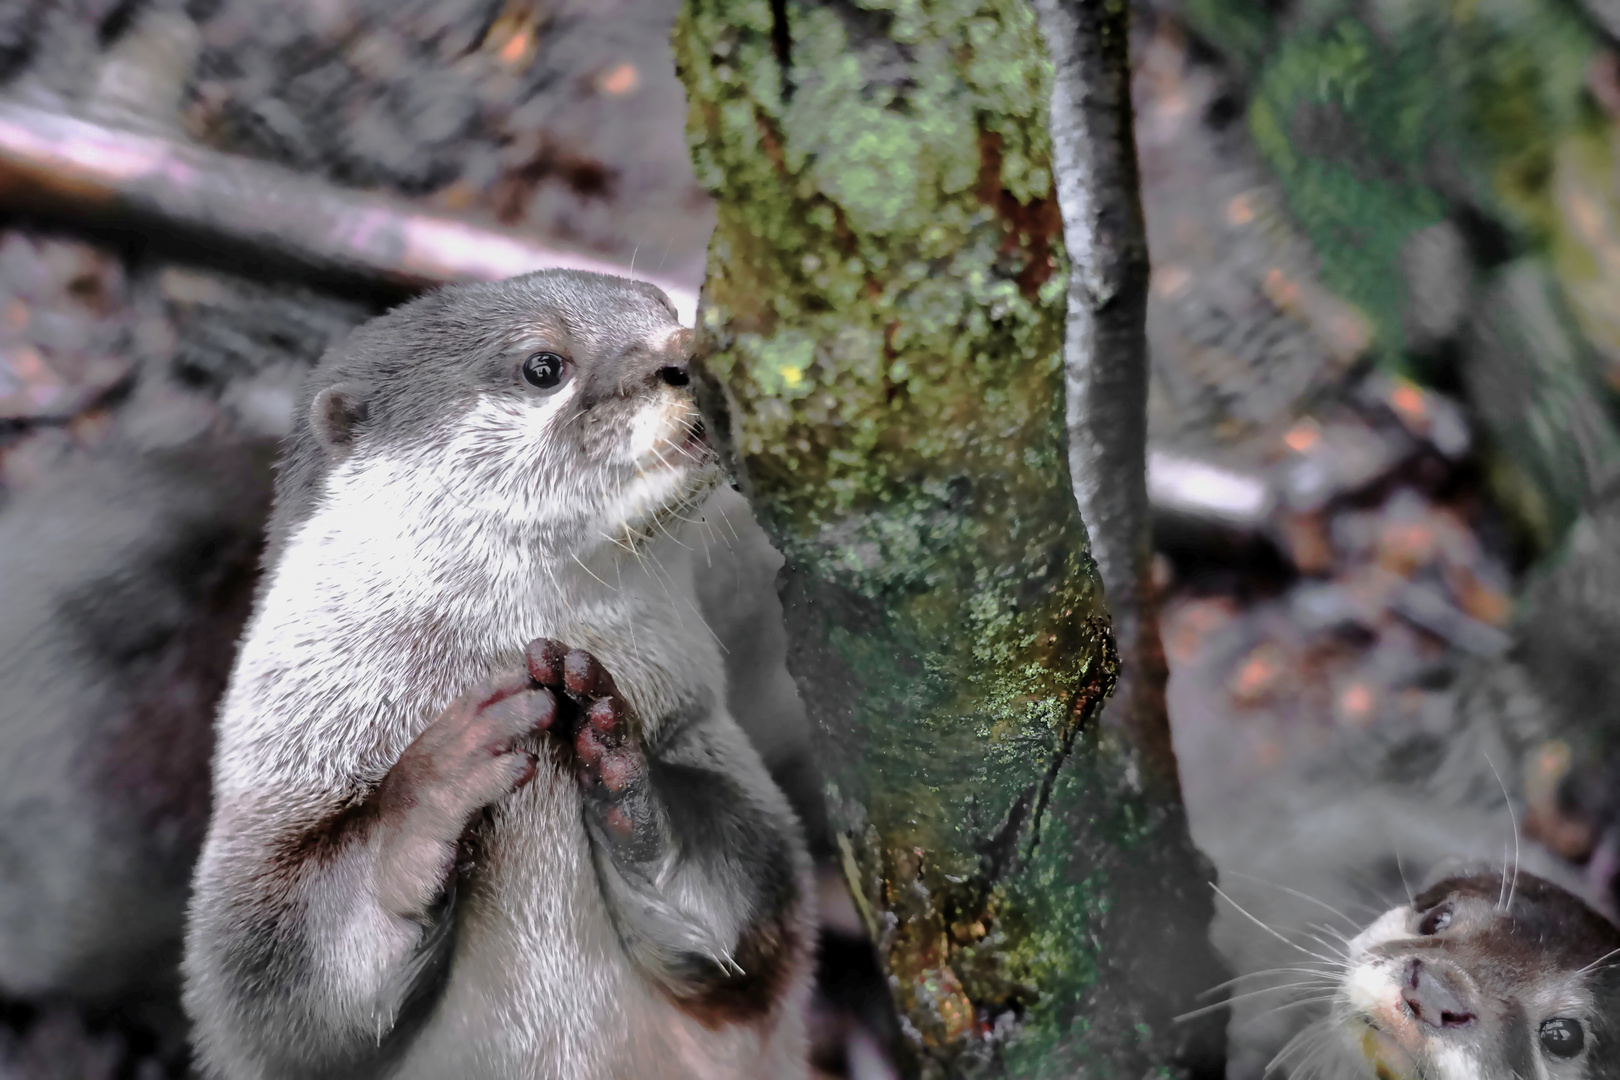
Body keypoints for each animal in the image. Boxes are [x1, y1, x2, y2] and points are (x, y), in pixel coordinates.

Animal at [183, 270, 816, 1080]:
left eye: (672, 314)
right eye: (544, 366)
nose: (684, 360)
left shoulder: (703, 731)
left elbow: (758, 903)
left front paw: (622, 763)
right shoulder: (259, 822)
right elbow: (272, 985)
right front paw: (441, 778)